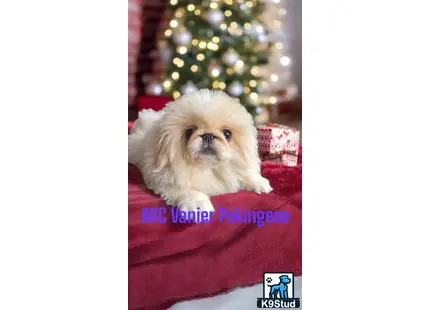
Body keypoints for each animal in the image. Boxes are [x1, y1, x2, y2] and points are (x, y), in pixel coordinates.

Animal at [127, 89, 274, 213]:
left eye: (227, 134)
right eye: (189, 131)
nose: (208, 135)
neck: (207, 167)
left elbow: (244, 173)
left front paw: (259, 182)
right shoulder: (164, 179)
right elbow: (185, 189)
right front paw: (198, 204)